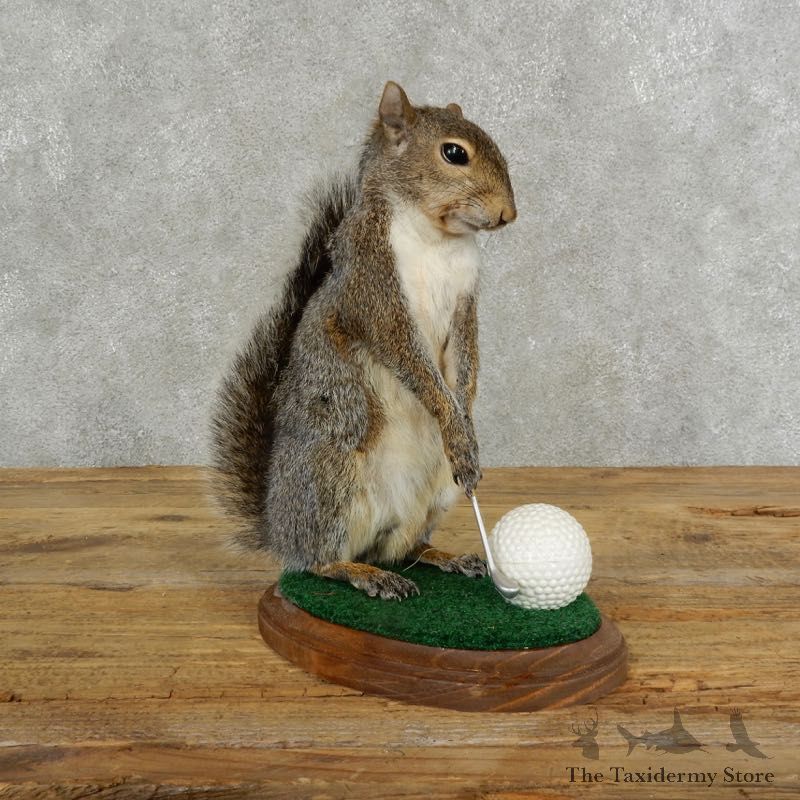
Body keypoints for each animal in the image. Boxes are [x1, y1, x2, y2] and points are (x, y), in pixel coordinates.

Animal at [211, 82, 516, 600]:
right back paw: (362, 574)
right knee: (319, 561)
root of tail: (279, 530)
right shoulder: (374, 289)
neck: (436, 237)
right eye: (454, 153)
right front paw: (450, 418)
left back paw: (445, 557)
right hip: (332, 475)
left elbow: (468, 360)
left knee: (402, 549)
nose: (508, 214)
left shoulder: (465, 301)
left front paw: (466, 423)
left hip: (439, 490)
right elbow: (407, 355)